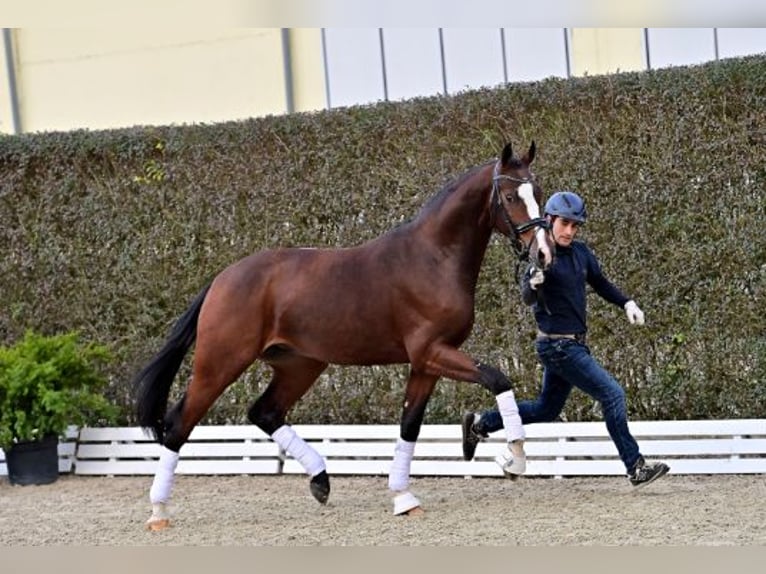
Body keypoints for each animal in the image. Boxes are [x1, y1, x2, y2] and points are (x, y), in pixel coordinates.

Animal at [135, 143, 556, 532]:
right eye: (509, 197)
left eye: (537, 190)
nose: (544, 254)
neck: (433, 257)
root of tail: (222, 279)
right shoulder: (432, 352)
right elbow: (497, 378)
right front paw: (514, 457)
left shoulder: (426, 363)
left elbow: (410, 425)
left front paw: (403, 498)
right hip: (219, 364)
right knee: (179, 425)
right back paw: (158, 511)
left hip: (300, 365)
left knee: (264, 412)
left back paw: (320, 480)